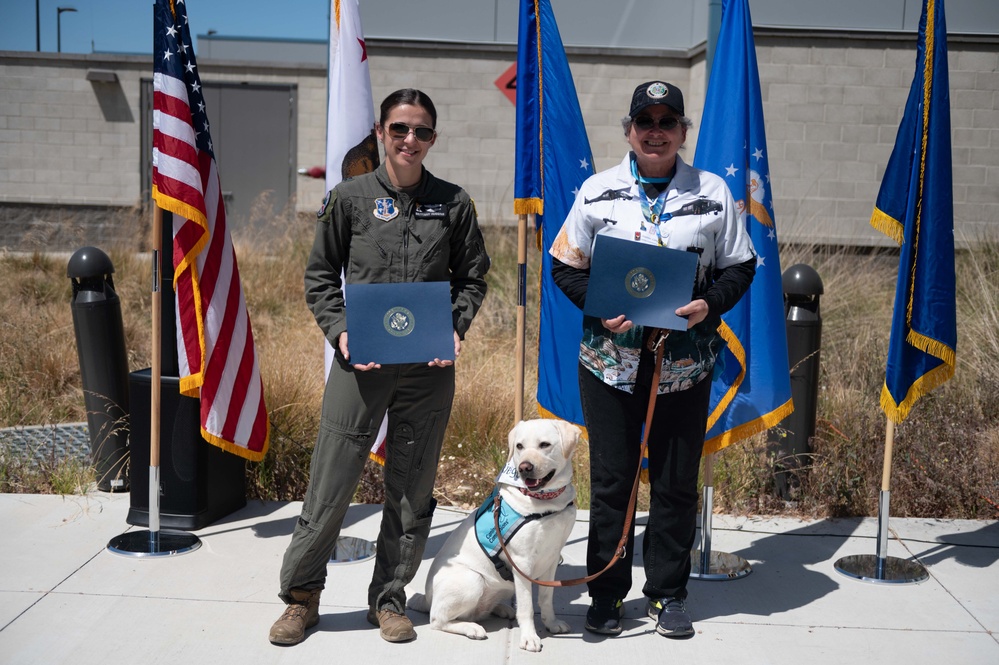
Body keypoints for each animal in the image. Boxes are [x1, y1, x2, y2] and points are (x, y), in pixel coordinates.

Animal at [408, 418, 584, 652]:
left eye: (545, 444)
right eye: (519, 446)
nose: (524, 467)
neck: (547, 502)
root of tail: (427, 598)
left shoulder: (552, 557)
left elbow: (546, 598)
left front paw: (552, 623)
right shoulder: (522, 562)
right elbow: (527, 607)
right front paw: (529, 637)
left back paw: (501, 609)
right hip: (472, 579)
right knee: (437, 620)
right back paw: (471, 628)